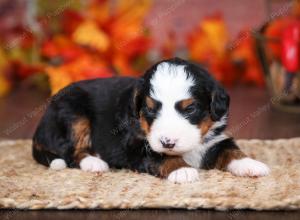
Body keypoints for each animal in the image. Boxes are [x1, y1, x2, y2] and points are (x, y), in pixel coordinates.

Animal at [32, 57, 270, 183]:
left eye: (190, 108)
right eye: (149, 109)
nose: (168, 142)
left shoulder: (214, 138)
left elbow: (229, 150)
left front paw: (250, 164)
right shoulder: (136, 144)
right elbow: (159, 155)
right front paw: (181, 169)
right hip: (73, 113)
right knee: (71, 152)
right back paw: (94, 162)